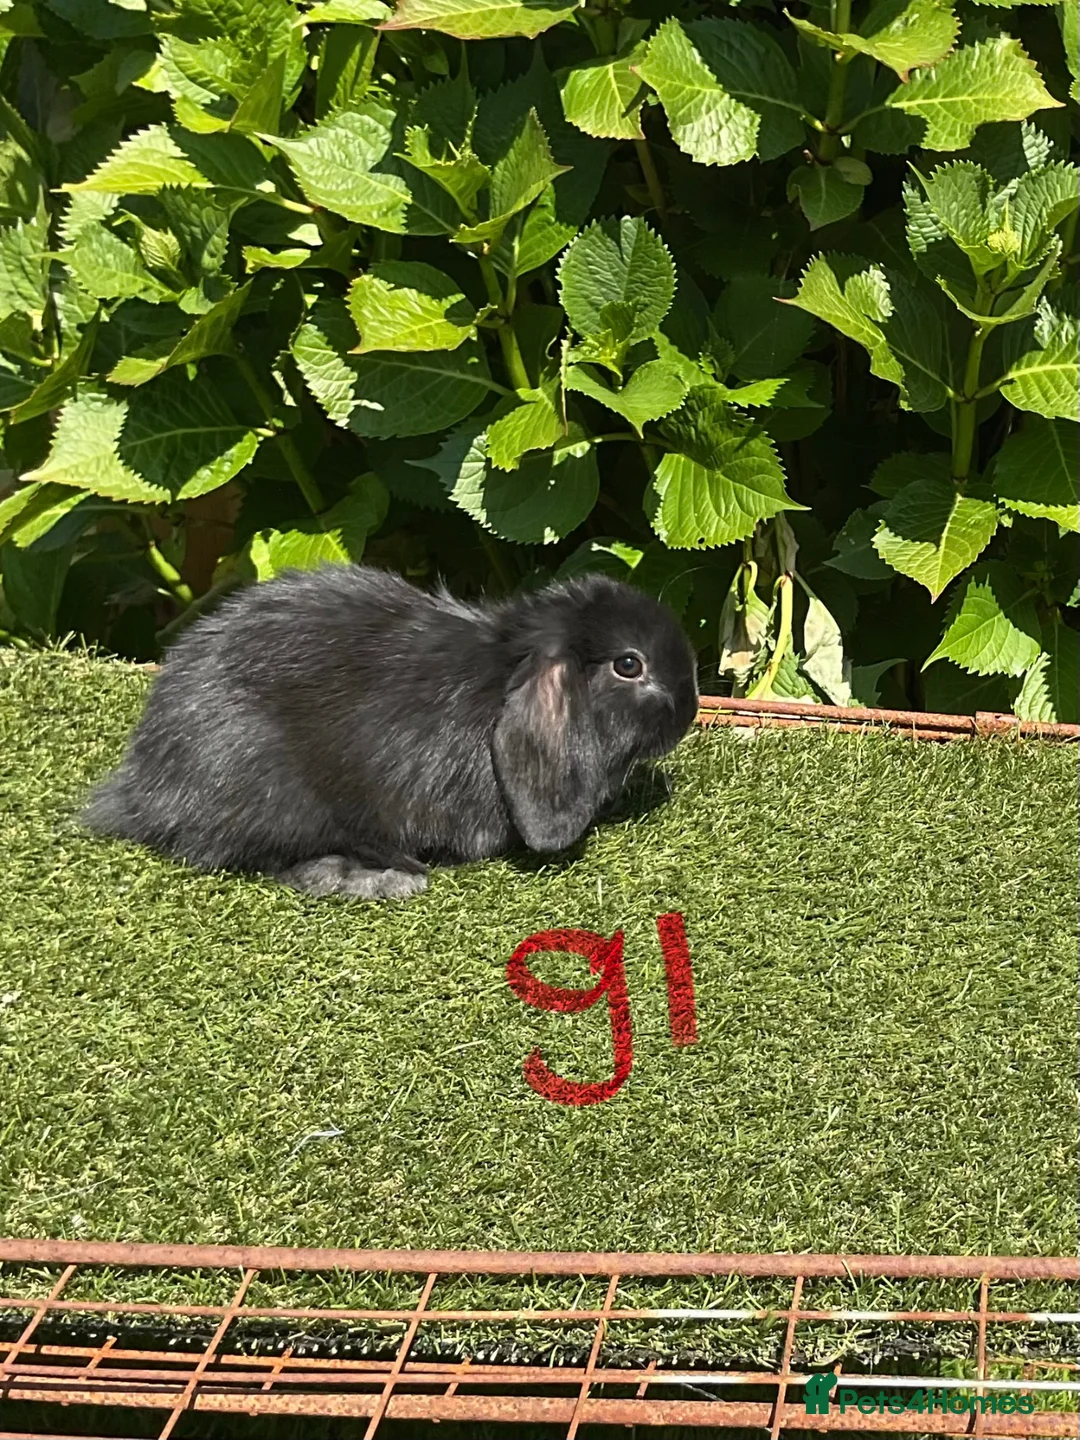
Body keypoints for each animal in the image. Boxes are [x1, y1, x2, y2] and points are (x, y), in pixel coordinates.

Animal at [83, 564, 700, 900]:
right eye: (629, 665)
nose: (691, 709)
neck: (501, 674)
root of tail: (142, 787)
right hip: (270, 788)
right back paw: (368, 876)